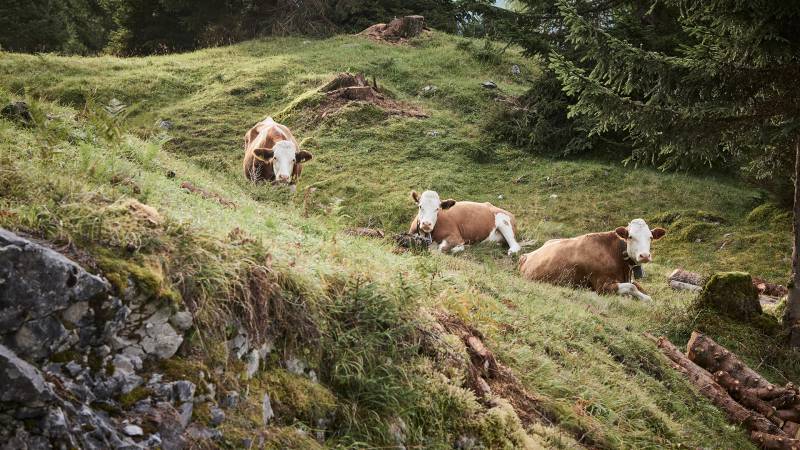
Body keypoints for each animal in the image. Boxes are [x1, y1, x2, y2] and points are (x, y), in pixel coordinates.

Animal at [518, 219, 666, 301]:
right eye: (630, 236)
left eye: (650, 237)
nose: (644, 255)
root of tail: (526, 255)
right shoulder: (602, 286)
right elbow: (633, 288)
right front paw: (646, 299)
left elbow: (638, 286)